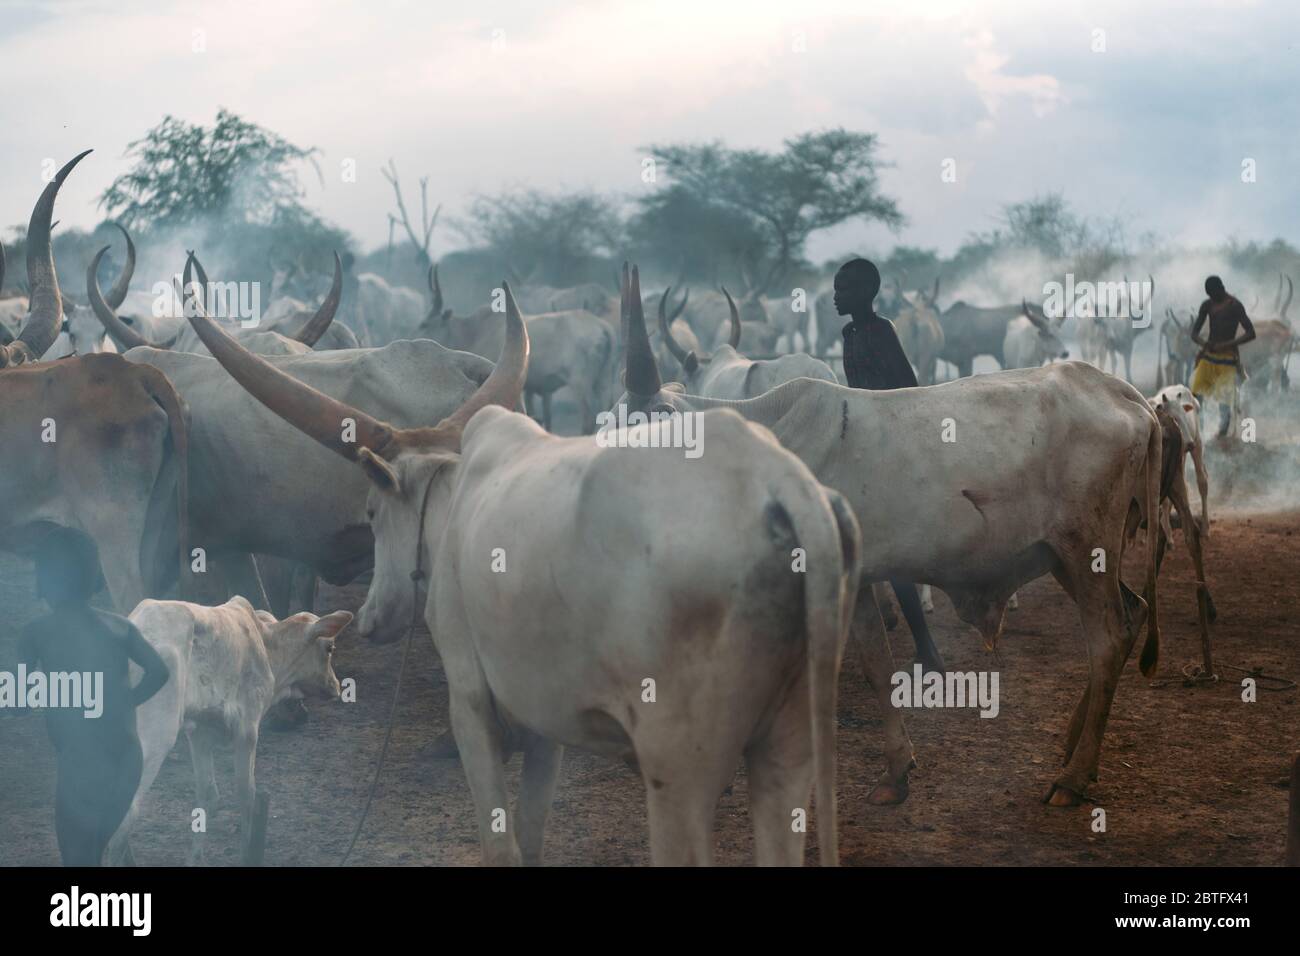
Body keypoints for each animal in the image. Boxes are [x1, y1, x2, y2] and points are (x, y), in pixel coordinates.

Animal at [107, 598, 353, 868]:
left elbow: (208, 794)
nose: (336, 686)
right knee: (125, 814)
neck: (268, 648)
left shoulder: (199, 730)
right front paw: (246, 855)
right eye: (330, 648)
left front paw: (196, 859)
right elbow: (247, 796)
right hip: (156, 736)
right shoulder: (247, 727)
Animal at [183, 269, 868, 868]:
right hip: (786, 749)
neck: (457, 496)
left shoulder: (471, 706)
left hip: (680, 760)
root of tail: (783, 489)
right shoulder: (545, 727)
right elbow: (532, 840)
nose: (371, 618)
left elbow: (501, 845)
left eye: (374, 511)